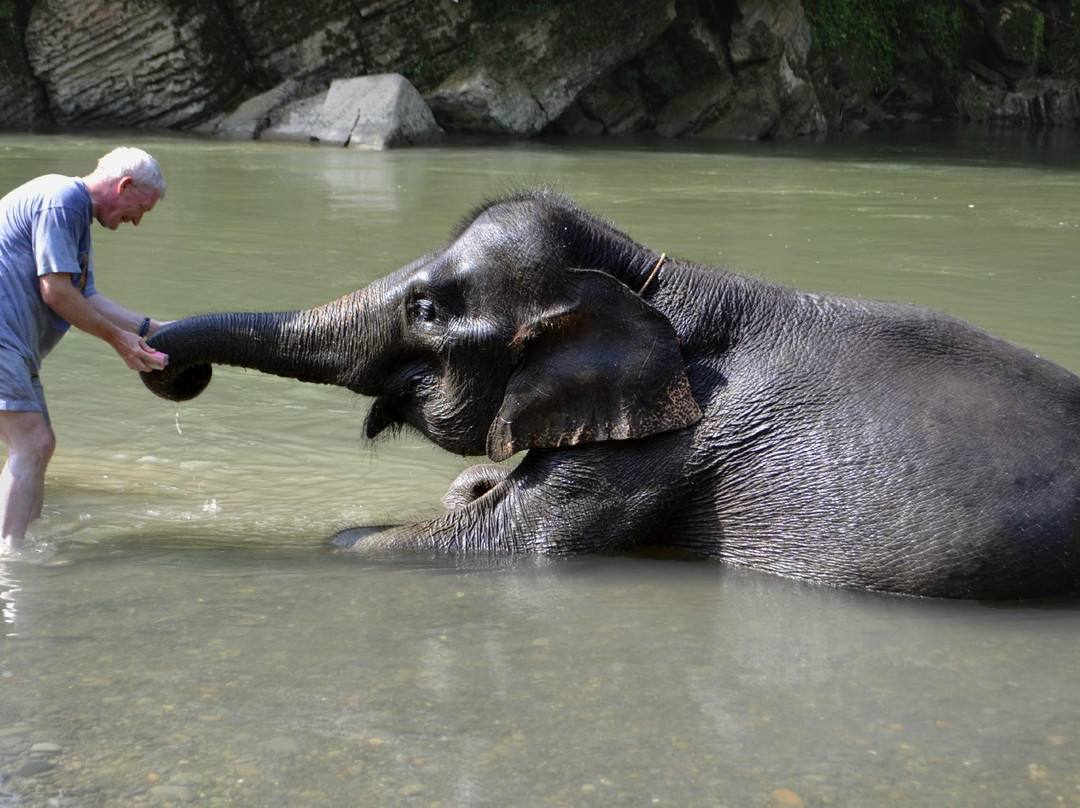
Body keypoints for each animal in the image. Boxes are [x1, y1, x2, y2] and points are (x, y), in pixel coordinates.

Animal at [141, 189, 1080, 600]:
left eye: (427, 310)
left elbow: (510, 541)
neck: (653, 276)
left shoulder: (670, 443)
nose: (175, 370)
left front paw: (339, 539)